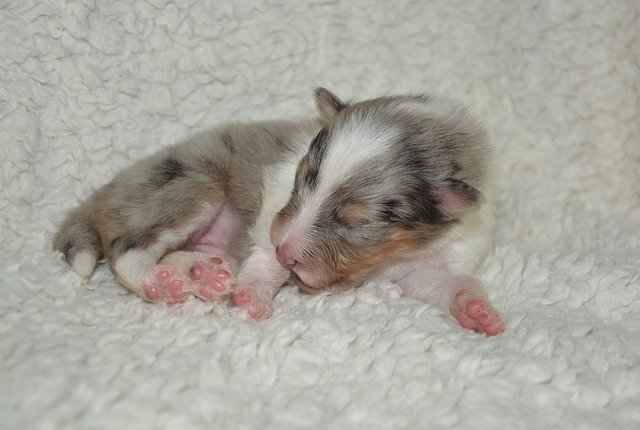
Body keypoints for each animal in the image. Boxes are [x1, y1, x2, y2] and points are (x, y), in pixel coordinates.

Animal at [53, 88, 504, 336]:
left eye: (355, 219)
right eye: (301, 181)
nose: (290, 254)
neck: (389, 256)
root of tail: (103, 192)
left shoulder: (436, 258)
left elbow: (447, 283)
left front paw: (478, 310)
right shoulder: (276, 207)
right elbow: (267, 253)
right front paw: (253, 292)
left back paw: (201, 276)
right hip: (191, 185)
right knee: (126, 252)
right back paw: (161, 285)